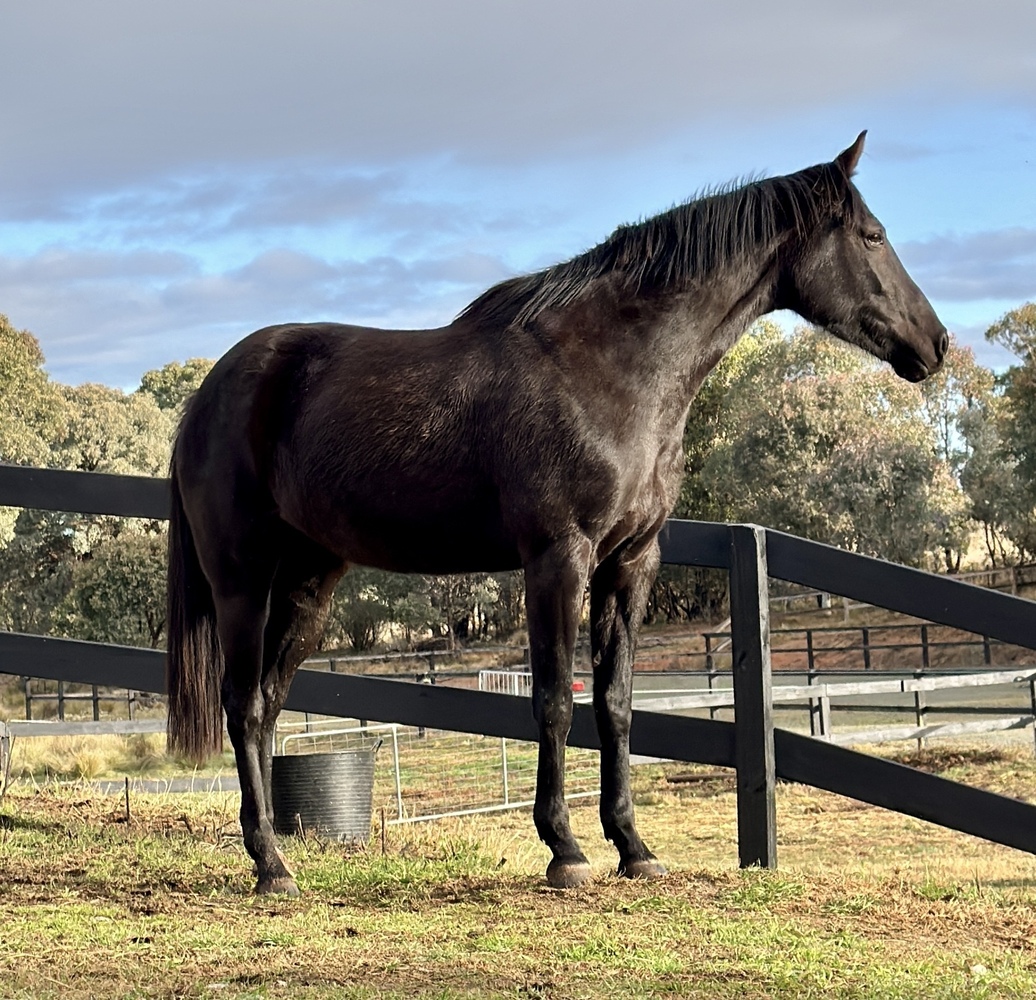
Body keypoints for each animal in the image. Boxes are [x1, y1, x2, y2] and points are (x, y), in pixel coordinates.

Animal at [166, 132, 947, 895]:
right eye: (874, 237)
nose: (935, 343)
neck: (611, 368)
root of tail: (209, 394)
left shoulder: (632, 561)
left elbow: (616, 703)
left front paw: (633, 847)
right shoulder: (557, 559)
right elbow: (554, 702)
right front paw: (565, 850)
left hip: (310, 580)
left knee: (269, 703)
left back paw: (275, 853)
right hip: (242, 582)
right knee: (242, 705)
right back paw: (271, 866)